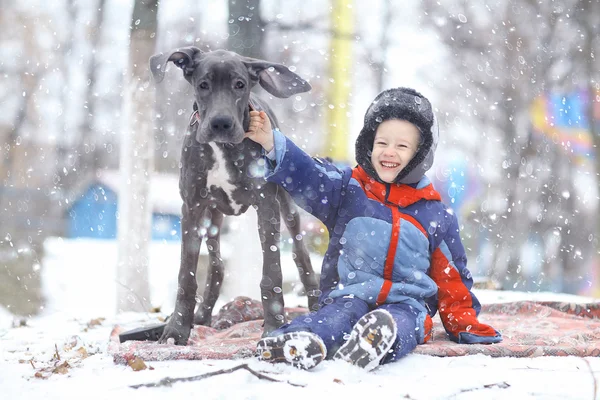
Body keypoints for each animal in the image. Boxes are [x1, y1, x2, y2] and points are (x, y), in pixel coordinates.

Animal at [148, 47, 322, 344]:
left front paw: (274, 327)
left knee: (301, 256)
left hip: (287, 206)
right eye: (203, 85)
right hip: (213, 217)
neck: (223, 148)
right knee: (217, 266)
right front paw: (177, 329)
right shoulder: (192, 207)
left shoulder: (267, 204)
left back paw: (316, 305)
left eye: (239, 85)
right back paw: (203, 316)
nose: (221, 123)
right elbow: (187, 274)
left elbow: (272, 272)